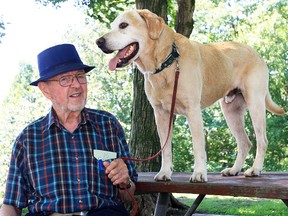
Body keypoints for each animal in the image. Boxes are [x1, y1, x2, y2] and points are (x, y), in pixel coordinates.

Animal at [96, 9, 284, 181]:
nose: (99, 41)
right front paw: (165, 172)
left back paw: (255, 169)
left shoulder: (193, 111)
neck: (167, 60)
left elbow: (198, 147)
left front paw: (199, 173)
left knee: (262, 141)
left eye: (123, 25)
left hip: (255, 104)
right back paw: (234, 170)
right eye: (112, 26)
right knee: (245, 142)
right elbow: (166, 149)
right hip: (231, 111)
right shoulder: (161, 114)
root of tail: (256, 53)